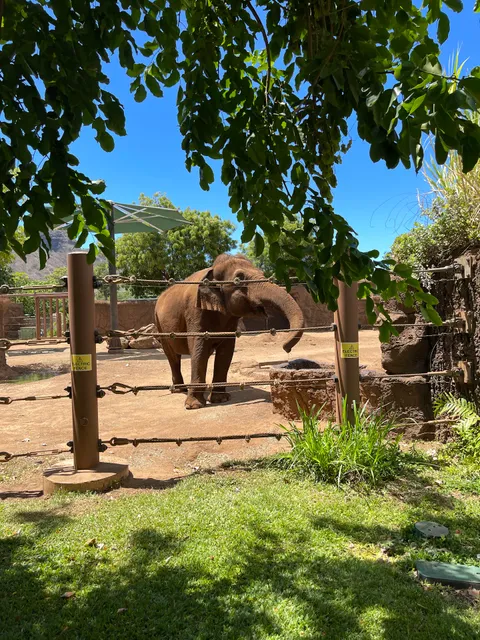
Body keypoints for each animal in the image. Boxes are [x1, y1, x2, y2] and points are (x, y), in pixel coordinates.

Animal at [154, 254, 305, 410]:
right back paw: (179, 389)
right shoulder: (194, 311)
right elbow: (199, 348)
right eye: (239, 279)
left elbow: (226, 351)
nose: (286, 347)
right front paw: (194, 406)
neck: (212, 271)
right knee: (172, 356)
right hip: (159, 324)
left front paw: (221, 399)